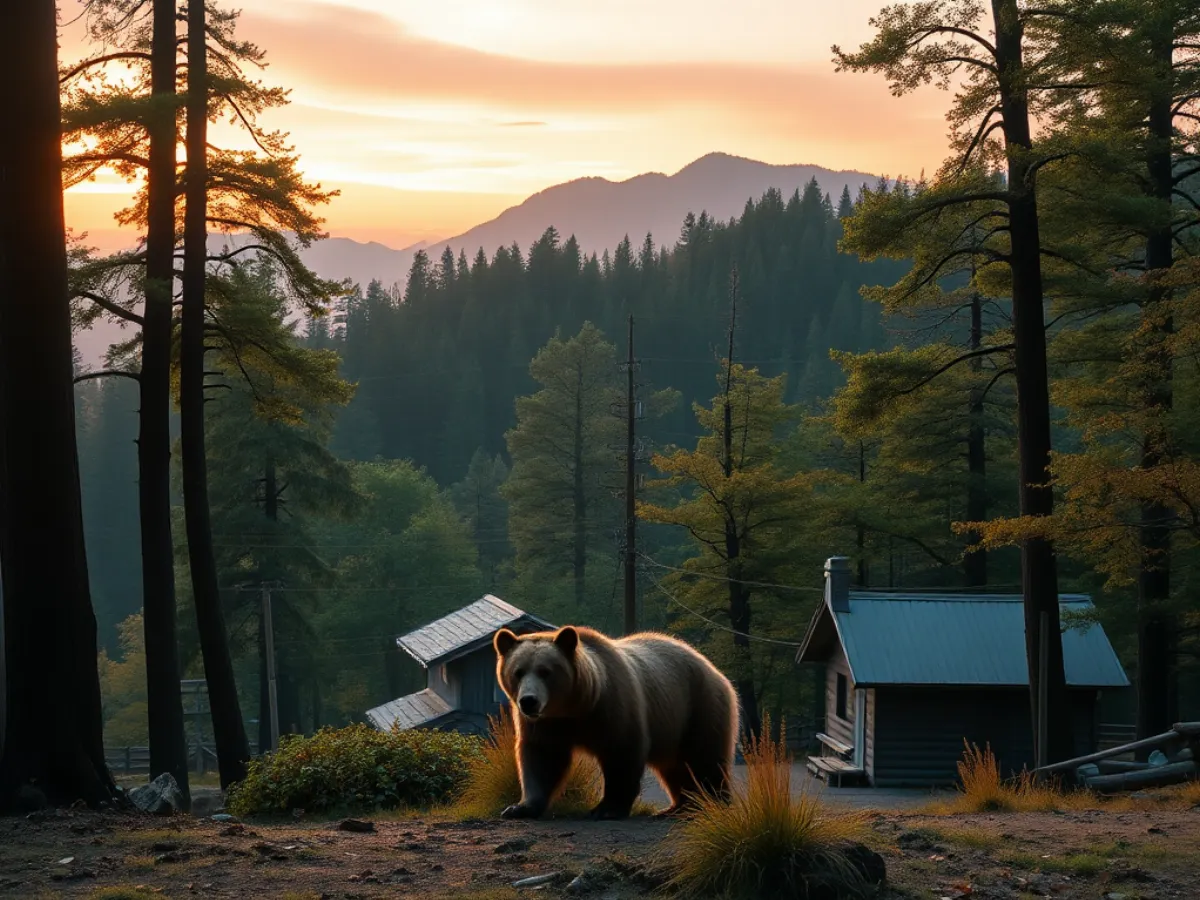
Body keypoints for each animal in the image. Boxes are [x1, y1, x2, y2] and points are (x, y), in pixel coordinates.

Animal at [492, 624, 738, 820]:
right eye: (518, 671)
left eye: (545, 671)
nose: (529, 701)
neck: (577, 706)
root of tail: (712, 668)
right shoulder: (547, 724)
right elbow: (542, 758)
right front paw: (519, 808)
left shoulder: (613, 707)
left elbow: (621, 753)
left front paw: (606, 809)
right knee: (674, 766)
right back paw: (678, 807)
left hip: (699, 706)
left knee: (706, 758)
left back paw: (713, 803)